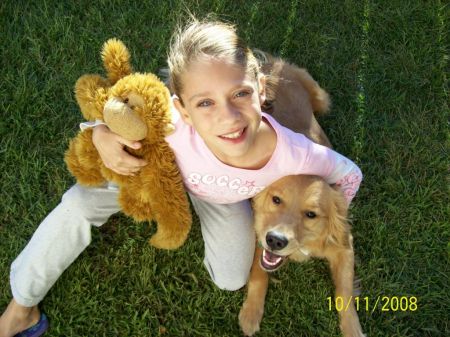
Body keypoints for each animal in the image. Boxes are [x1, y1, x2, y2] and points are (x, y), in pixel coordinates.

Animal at [239, 55, 366, 336]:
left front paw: (352, 328)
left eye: (311, 214)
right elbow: (258, 273)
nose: (276, 240)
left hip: (323, 99)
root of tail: (271, 64)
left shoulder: (344, 245)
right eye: (276, 200)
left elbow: (344, 293)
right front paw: (251, 312)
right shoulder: (259, 231)